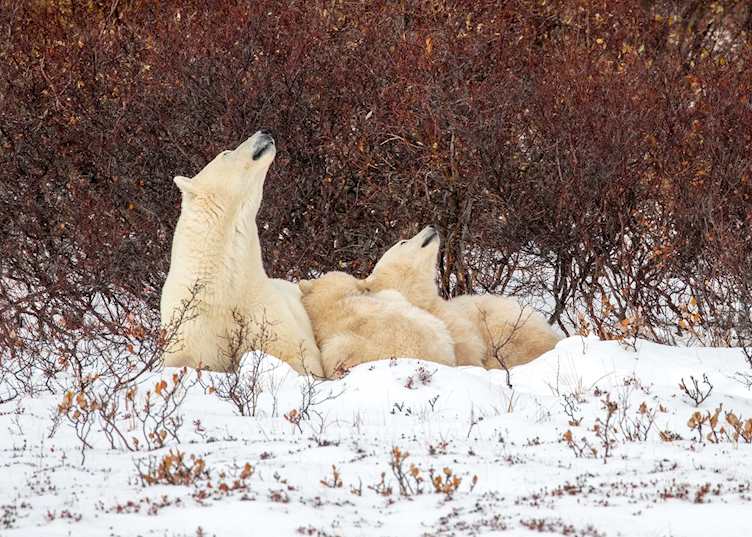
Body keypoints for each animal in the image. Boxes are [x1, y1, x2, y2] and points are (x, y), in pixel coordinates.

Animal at [160, 130, 324, 377]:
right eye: (226, 153)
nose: (265, 131)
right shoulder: (192, 321)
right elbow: (183, 359)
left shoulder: (263, 310)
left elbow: (297, 354)